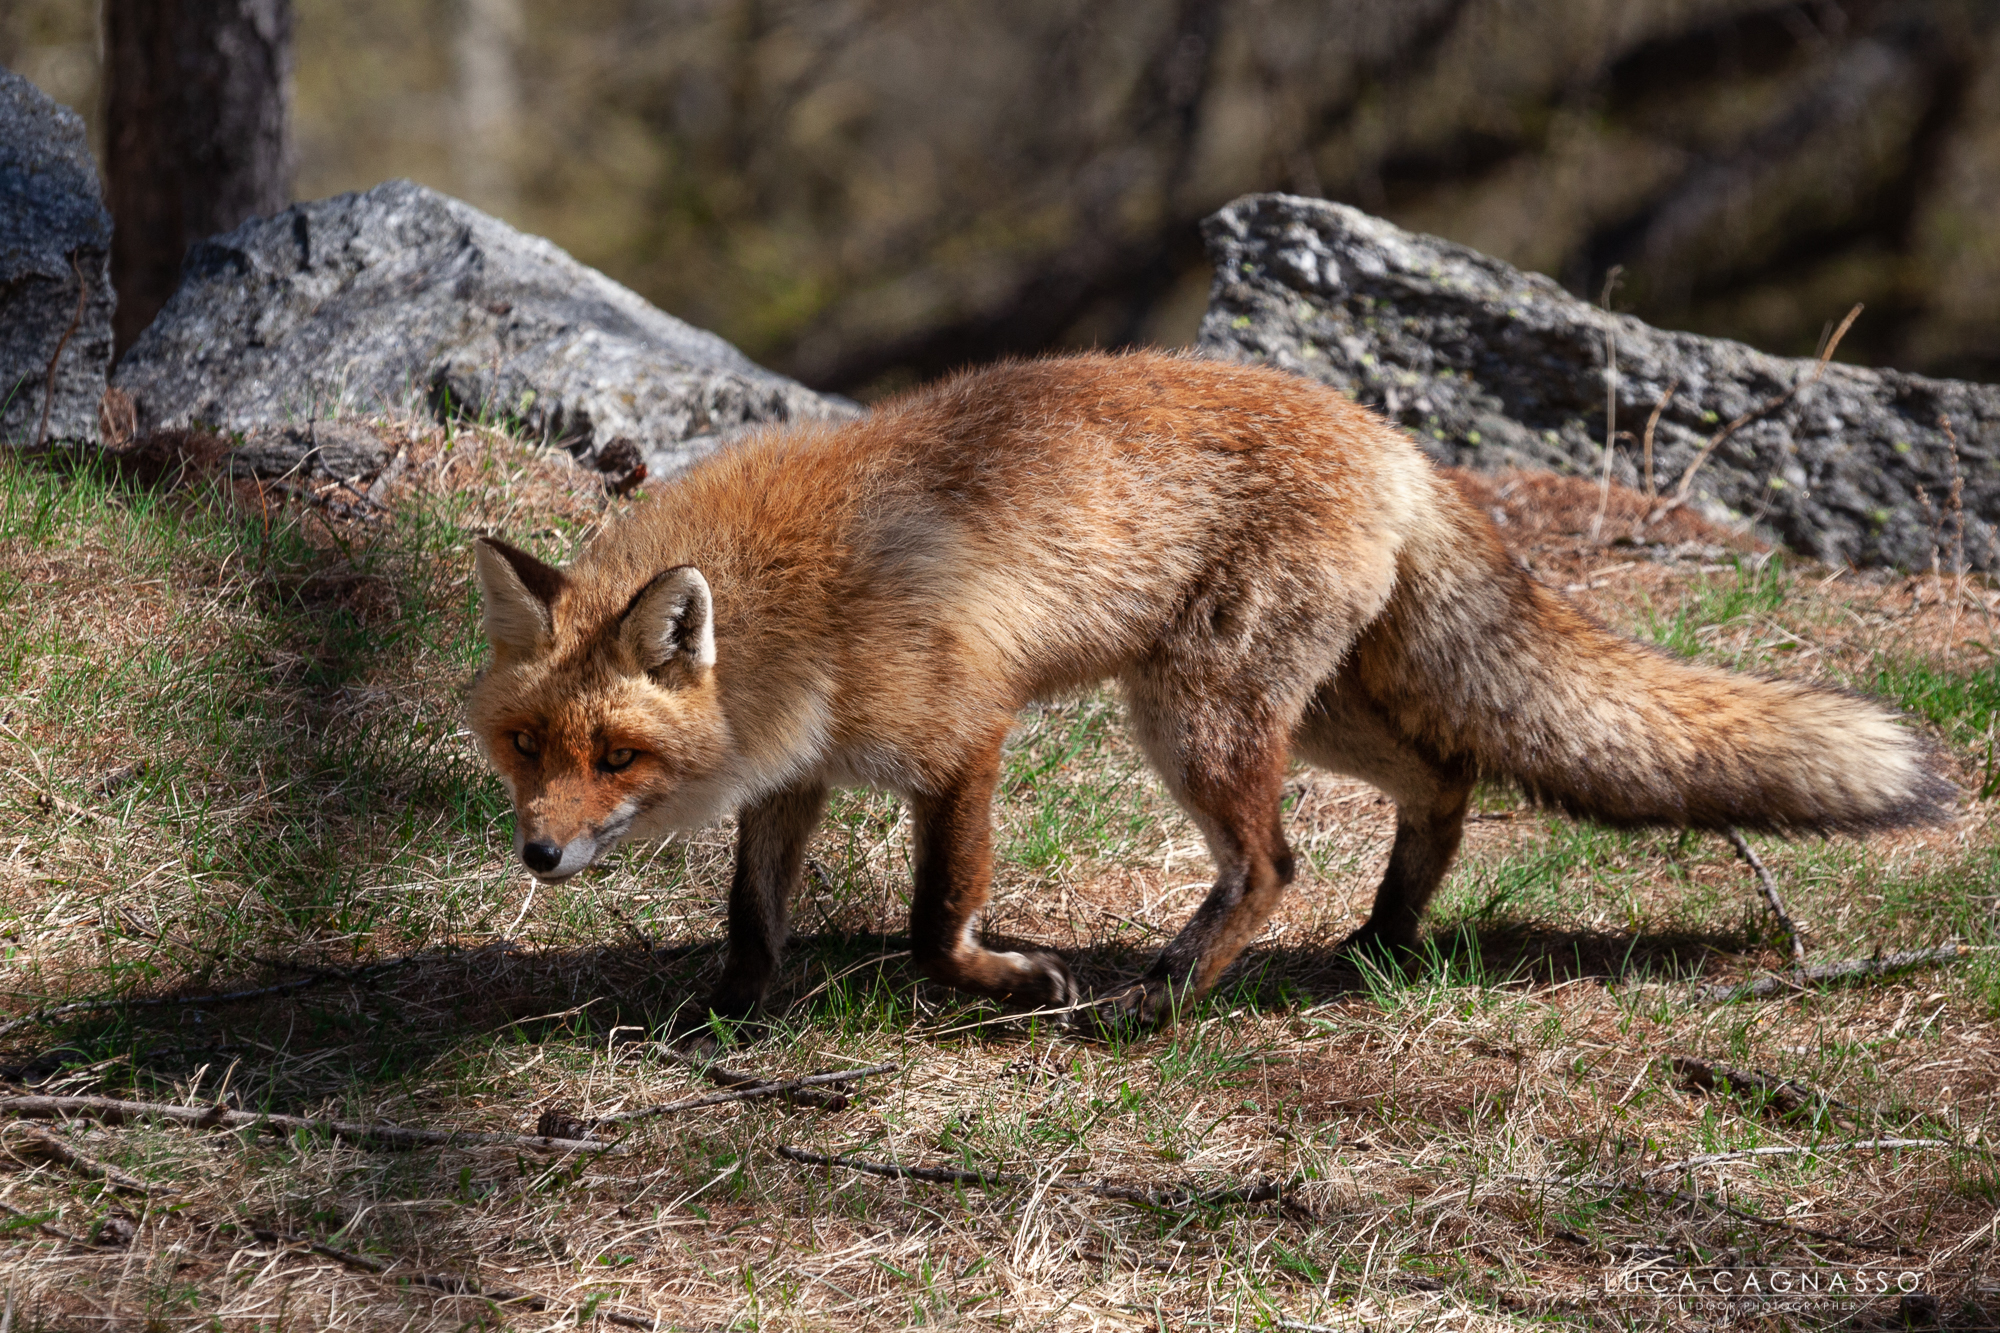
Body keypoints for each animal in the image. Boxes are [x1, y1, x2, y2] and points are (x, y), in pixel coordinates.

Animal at [467, 350, 1953, 1029]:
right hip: (1308, 710)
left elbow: (934, 920)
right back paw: (1387, 936)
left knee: (1275, 861)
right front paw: (725, 1009)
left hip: (1192, 719)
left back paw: (1174, 993)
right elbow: (752, 912)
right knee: (1447, 779)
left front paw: (1008, 981)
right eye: (528, 745)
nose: (537, 856)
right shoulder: (798, 773)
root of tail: (1392, 439)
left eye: (614, 755)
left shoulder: (963, 740)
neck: (799, 605)